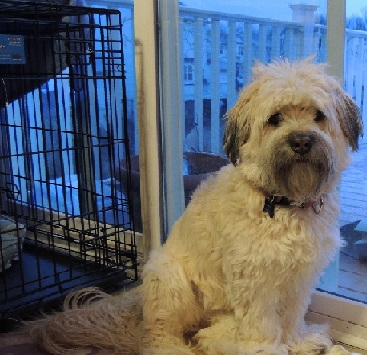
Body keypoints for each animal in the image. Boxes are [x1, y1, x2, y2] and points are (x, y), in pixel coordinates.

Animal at [31, 57, 366, 354]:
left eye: (318, 115)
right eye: (275, 119)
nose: (301, 142)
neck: (282, 202)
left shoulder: (298, 277)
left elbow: (292, 316)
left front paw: (297, 341)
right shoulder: (254, 282)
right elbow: (262, 325)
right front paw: (268, 349)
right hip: (170, 279)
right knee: (157, 334)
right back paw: (176, 347)